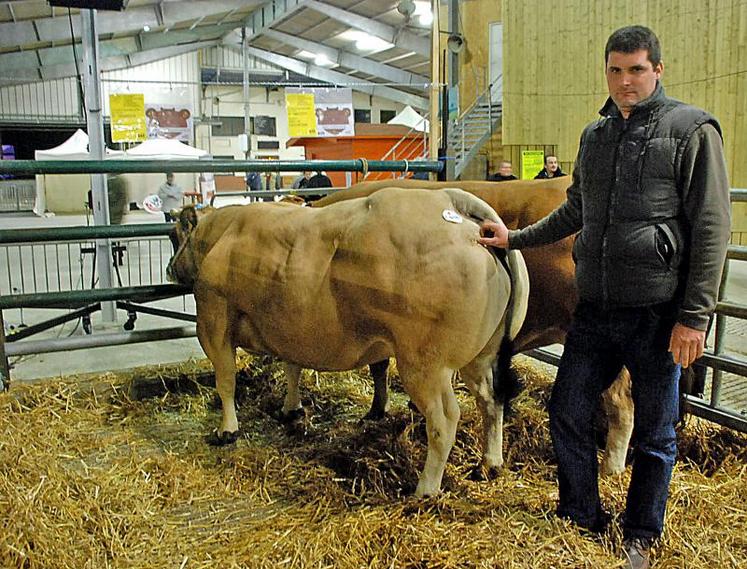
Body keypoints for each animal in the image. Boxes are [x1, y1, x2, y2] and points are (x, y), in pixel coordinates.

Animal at [167, 187, 530, 497]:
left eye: (172, 236)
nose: (170, 268)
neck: (222, 235)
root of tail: (450, 200)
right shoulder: (289, 323)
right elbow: (292, 368)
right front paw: (290, 408)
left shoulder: (212, 319)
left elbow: (225, 379)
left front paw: (227, 429)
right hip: (480, 356)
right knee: (491, 400)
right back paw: (489, 463)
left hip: (426, 364)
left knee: (444, 419)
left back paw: (425, 488)